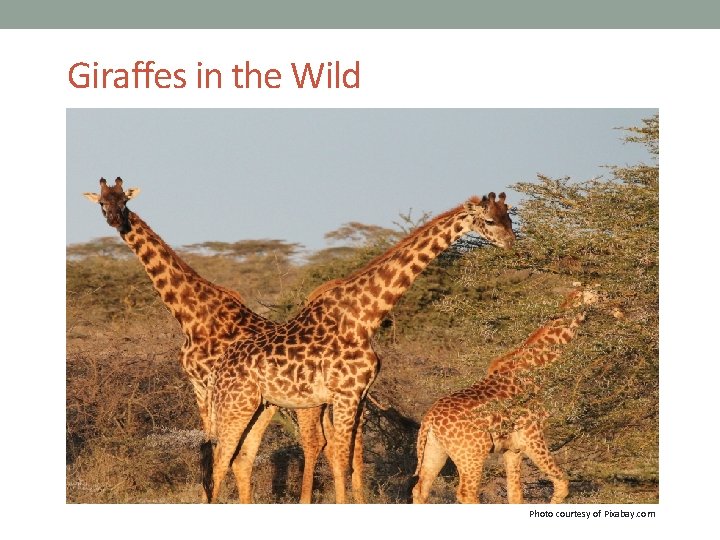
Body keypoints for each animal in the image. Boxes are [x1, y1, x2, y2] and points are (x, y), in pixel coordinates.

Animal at [82, 177, 328, 503]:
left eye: (124, 201)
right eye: (102, 203)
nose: (115, 221)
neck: (191, 315)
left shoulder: (213, 382)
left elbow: (216, 448)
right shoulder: (198, 385)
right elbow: (207, 443)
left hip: (305, 403)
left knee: (312, 442)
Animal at [203, 193, 516, 503]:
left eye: (509, 218)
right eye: (489, 221)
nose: (511, 242)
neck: (364, 318)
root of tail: (220, 369)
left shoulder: (361, 395)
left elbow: (353, 461)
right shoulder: (345, 394)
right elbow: (341, 460)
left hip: (260, 406)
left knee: (240, 459)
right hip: (235, 405)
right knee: (219, 462)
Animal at [412, 285, 599, 504]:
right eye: (598, 293)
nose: (615, 301)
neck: (533, 371)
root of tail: (429, 419)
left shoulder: (513, 449)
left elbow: (515, 495)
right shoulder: (532, 436)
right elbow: (562, 484)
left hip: (436, 450)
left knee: (420, 489)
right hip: (472, 454)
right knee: (466, 493)